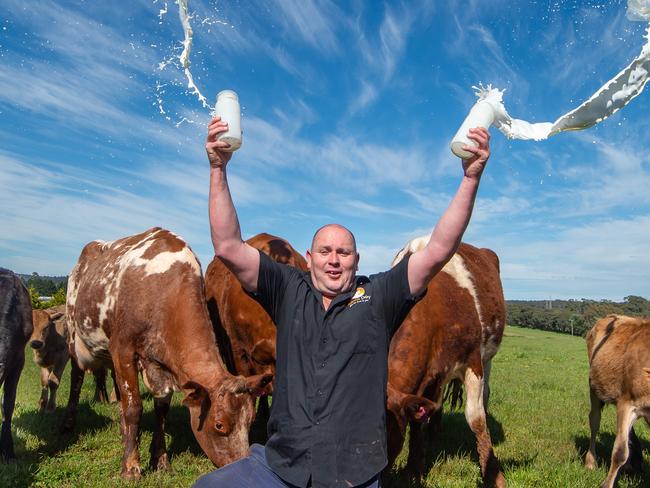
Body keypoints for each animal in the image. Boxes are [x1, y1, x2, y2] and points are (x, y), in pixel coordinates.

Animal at [61, 229, 270, 480]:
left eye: (250, 421)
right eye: (219, 425)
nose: (242, 464)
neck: (163, 292)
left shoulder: (160, 366)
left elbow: (161, 411)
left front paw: (160, 460)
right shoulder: (123, 349)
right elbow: (134, 407)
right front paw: (131, 467)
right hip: (74, 335)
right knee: (77, 379)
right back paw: (69, 424)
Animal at [384, 235, 506, 484]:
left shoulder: (472, 362)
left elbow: (476, 419)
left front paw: (493, 474)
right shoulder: (430, 374)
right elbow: (419, 418)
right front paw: (414, 470)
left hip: (487, 357)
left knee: (484, 397)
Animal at [584, 314, 648, 486]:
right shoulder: (627, 402)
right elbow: (620, 452)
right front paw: (606, 484)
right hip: (594, 387)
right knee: (594, 421)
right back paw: (590, 462)